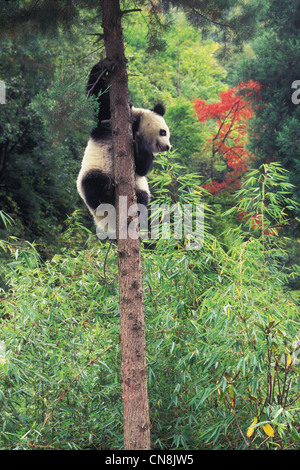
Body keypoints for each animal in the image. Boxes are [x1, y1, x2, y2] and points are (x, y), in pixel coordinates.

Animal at [77, 60, 171, 233]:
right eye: (163, 132)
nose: (168, 147)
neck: (135, 126)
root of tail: (110, 221)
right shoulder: (109, 120)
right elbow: (97, 98)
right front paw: (102, 67)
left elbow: (142, 168)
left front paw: (141, 147)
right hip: (92, 171)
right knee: (92, 185)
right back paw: (106, 189)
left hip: (139, 187)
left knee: (142, 198)